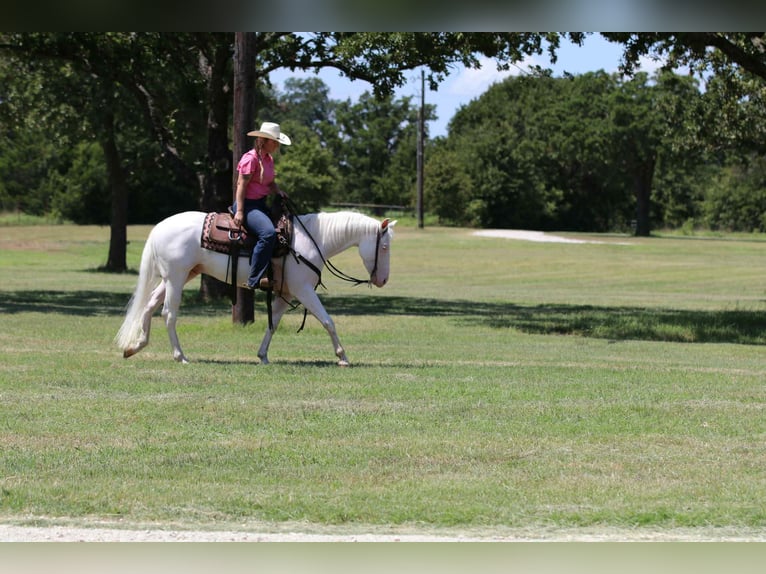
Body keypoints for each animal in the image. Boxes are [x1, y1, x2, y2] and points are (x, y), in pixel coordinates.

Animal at [115, 210, 395, 366]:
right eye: (384, 247)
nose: (383, 280)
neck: (311, 241)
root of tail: (159, 227)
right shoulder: (304, 290)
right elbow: (328, 321)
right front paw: (343, 357)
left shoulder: (285, 294)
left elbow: (273, 324)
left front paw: (262, 355)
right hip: (176, 277)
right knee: (168, 314)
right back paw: (180, 356)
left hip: (177, 277)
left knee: (149, 306)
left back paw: (135, 346)